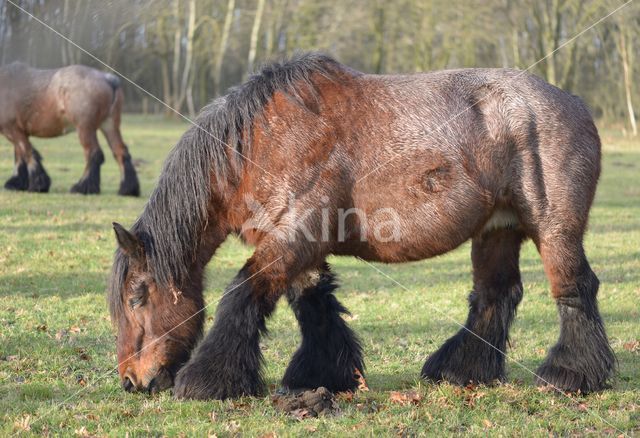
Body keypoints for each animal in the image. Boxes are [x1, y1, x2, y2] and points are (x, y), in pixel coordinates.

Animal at [0, 62, 140, 196]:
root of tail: (108, 79)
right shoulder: (18, 132)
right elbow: (20, 156)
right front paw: (17, 183)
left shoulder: (13, 131)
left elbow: (28, 154)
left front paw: (38, 185)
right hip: (109, 126)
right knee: (121, 152)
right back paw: (127, 190)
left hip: (85, 129)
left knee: (94, 153)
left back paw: (82, 187)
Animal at [110, 52, 616, 400]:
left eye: (137, 296)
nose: (132, 381)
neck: (260, 144)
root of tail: (571, 102)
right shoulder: (301, 247)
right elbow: (313, 306)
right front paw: (324, 374)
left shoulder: (292, 239)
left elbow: (242, 294)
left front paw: (206, 381)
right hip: (497, 229)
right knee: (496, 296)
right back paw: (461, 371)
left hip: (554, 228)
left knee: (574, 288)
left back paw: (570, 374)